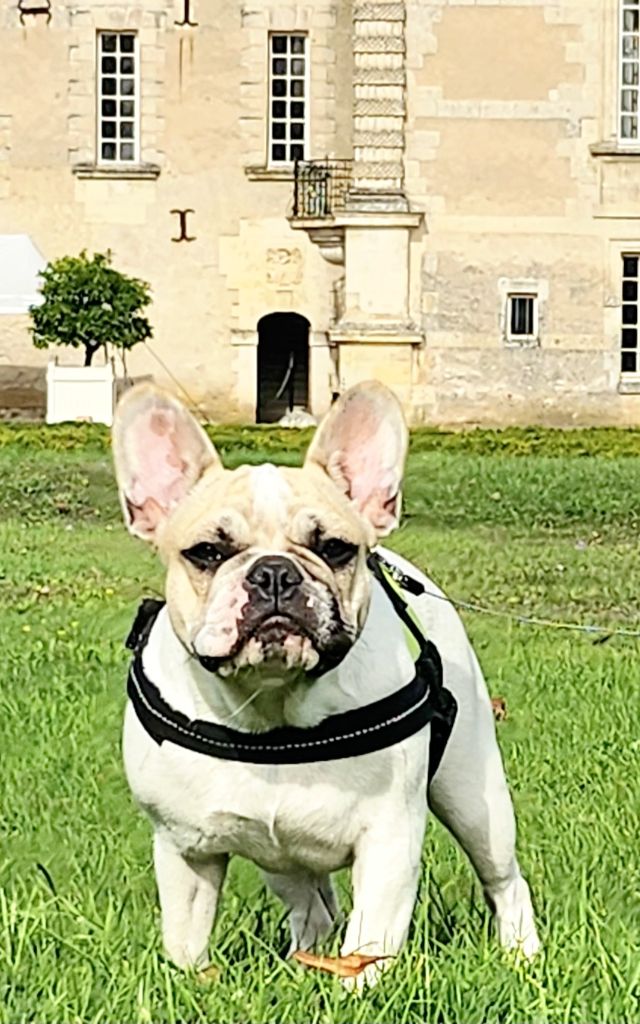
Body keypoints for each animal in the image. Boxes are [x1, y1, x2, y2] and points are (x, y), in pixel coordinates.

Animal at [112, 382, 536, 983]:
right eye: (207, 553)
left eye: (334, 548)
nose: (273, 572)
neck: (273, 706)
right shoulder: (184, 849)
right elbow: (186, 942)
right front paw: (190, 985)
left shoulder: (390, 841)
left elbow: (366, 945)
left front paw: (358, 991)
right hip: (281, 860)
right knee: (312, 908)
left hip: (476, 800)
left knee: (503, 879)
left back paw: (522, 954)